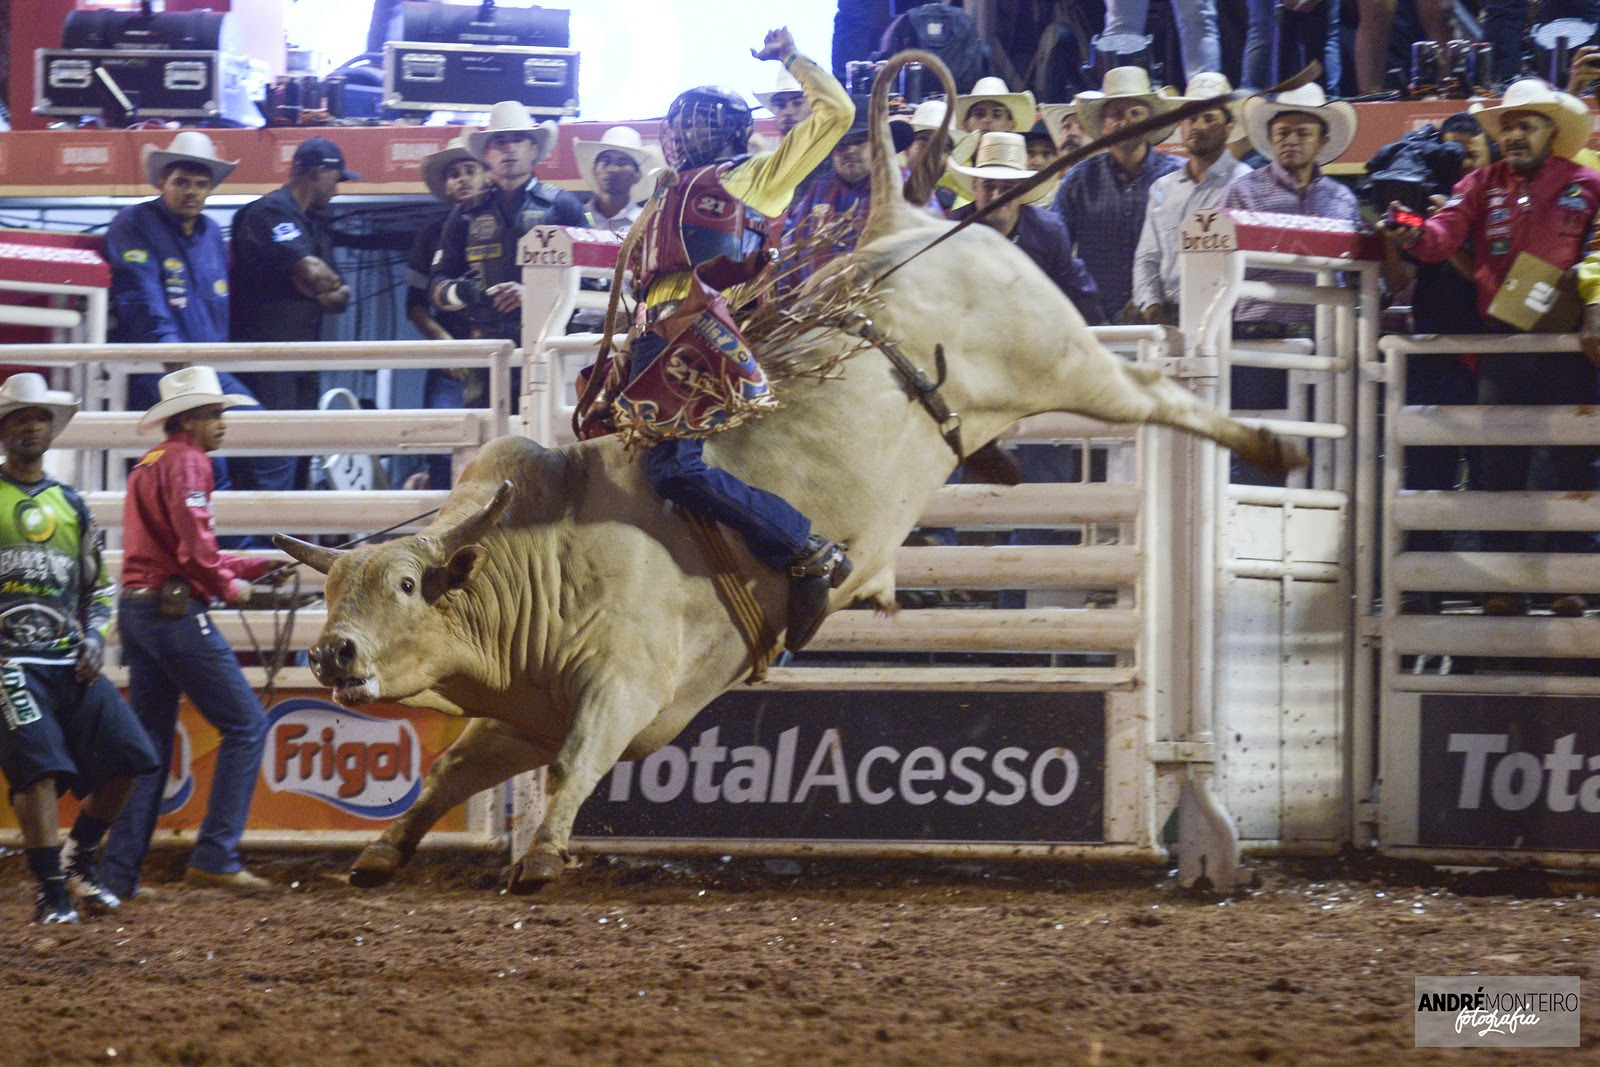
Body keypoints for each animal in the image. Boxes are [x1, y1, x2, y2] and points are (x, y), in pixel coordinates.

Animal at [278, 54, 1299, 889]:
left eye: (407, 584)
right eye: (330, 591)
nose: (332, 653)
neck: (535, 562)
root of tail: (905, 217)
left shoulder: (624, 691)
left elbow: (575, 764)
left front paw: (540, 857)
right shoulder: (520, 713)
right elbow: (451, 768)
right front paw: (383, 850)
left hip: (1061, 357)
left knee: (1154, 393)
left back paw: (1268, 446)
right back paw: (1006, 462)